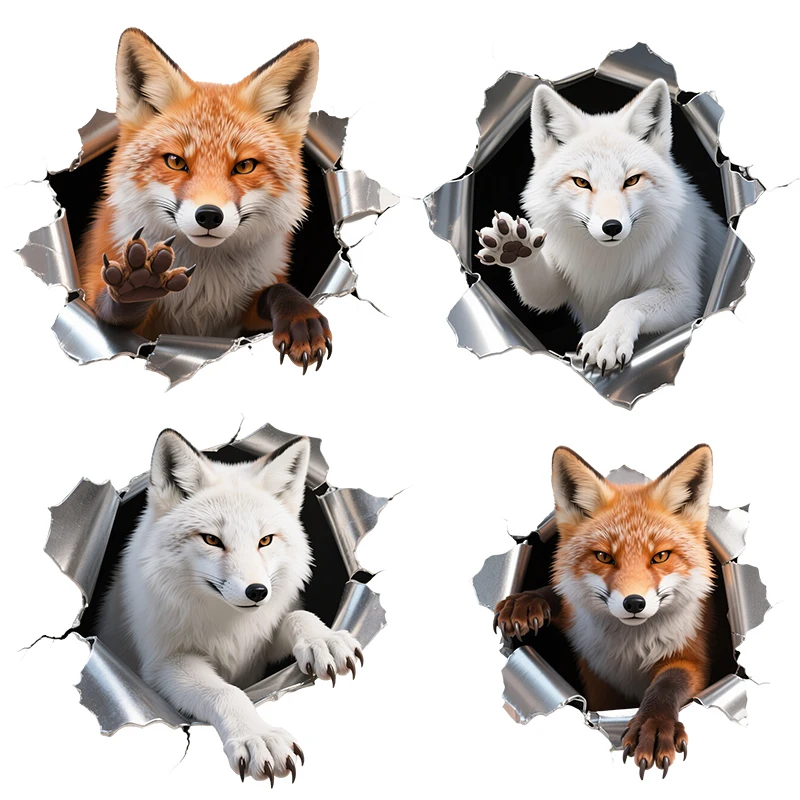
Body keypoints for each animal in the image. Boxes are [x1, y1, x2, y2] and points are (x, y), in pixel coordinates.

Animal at [78, 28, 331, 372]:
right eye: (175, 161)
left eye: (244, 166)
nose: (209, 215)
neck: (203, 286)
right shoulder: (103, 291)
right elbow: (112, 309)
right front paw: (139, 284)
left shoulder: (247, 312)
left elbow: (277, 290)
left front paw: (300, 317)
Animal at [97, 430, 364, 783]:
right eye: (212, 540)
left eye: (265, 541)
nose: (257, 592)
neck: (231, 627)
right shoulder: (165, 663)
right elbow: (227, 693)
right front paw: (258, 737)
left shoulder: (260, 645)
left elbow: (297, 615)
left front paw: (325, 640)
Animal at [476, 79, 727, 374]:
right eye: (581, 182)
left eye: (631, 180)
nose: (612, 227)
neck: (606, 261)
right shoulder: (557, 280)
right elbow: (539, 294)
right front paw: (513, 246)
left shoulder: (684, 294)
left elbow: (626, 304)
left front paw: (607, 337)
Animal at [493, 444, 717, 779]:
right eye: (604, 557)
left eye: (660, 556)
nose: (634, 603)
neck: (630, 650)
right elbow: (560, 595)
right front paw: (527, 600)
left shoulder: (694, 658)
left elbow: (668, 683)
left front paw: (653, 726)